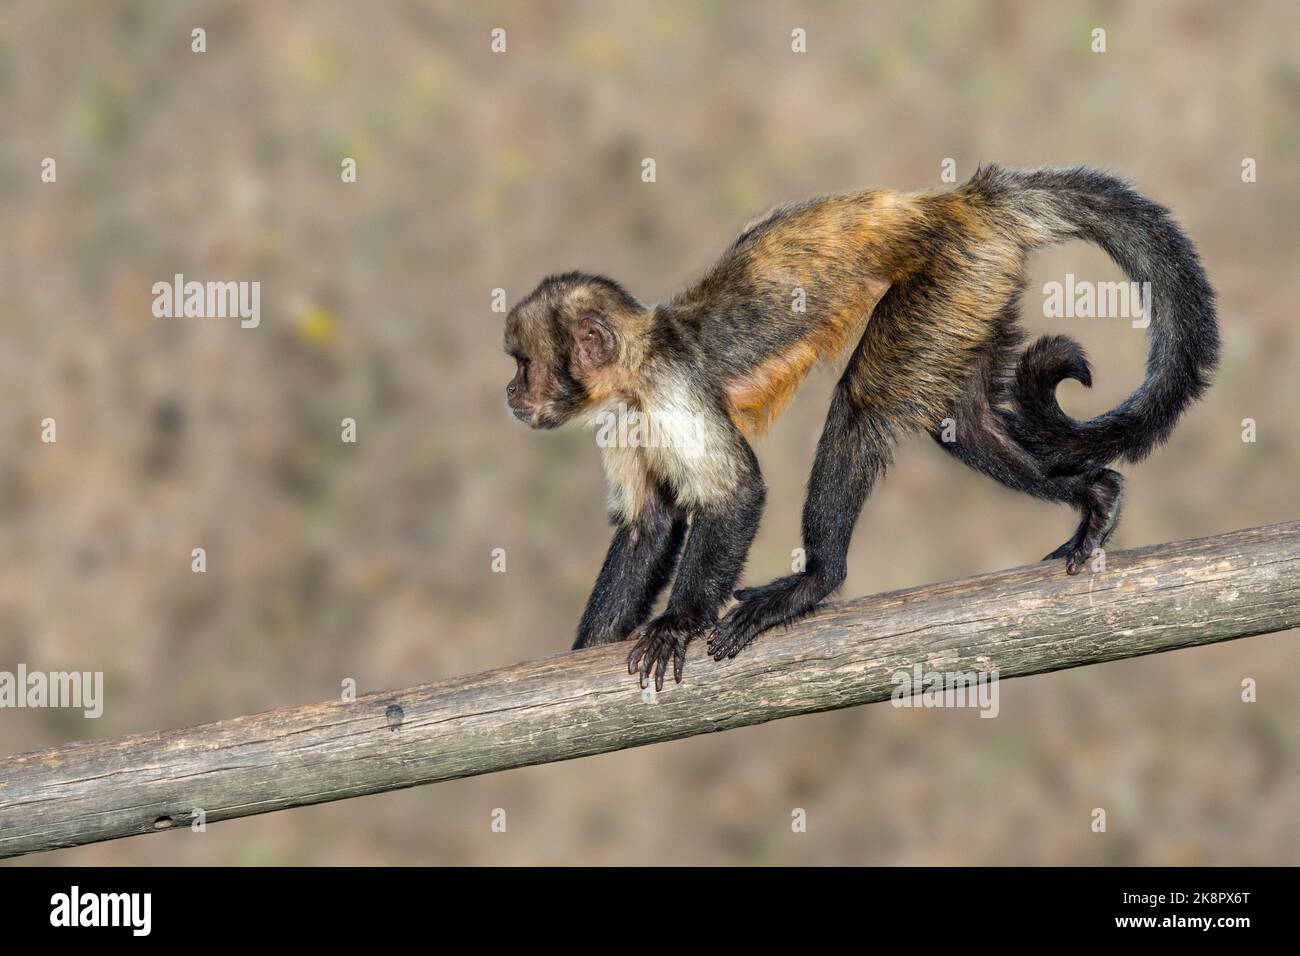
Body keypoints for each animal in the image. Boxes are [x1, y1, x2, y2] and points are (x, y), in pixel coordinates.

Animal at [503, 164, 1218, 691]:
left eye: (525, 365)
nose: (511, 392)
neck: (634, 368)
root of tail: (955, 201)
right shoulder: (623, 415)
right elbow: (648, 523)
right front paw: (587, 647)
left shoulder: (667, 385)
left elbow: (736, 495)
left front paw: (679, 622)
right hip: (976, 290)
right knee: (964, 422)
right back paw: (1095, 496)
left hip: (951, 272)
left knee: (863, 403)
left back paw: (816, 580)